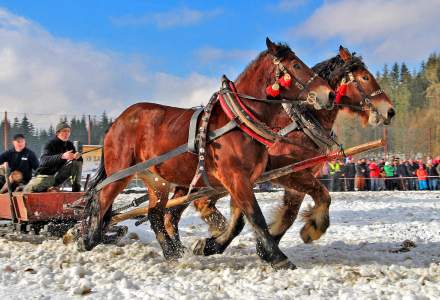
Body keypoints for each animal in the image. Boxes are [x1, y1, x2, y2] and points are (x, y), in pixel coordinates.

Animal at [73, 38, 334, 270]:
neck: (239, 121)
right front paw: (277, 258)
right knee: (101, 202)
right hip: (120, 172)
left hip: (157, 180)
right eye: (296, 65)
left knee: (155, 215)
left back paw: (173, 253)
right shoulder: (236, 178)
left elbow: (241, 219)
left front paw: (210, 245)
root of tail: (117, 122)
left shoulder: (246, 179)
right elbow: (255, 217)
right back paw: (88, 239)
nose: (329, 94)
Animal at [164, 45, 396, 262]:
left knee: (175, 211)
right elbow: (321, 196)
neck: (302, 123)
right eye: (365, 77)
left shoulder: (298, 175)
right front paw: (310, 230)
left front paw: (269, 243)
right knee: (183, 207)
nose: (390, 111)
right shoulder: (285, 173)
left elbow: (291, 213)